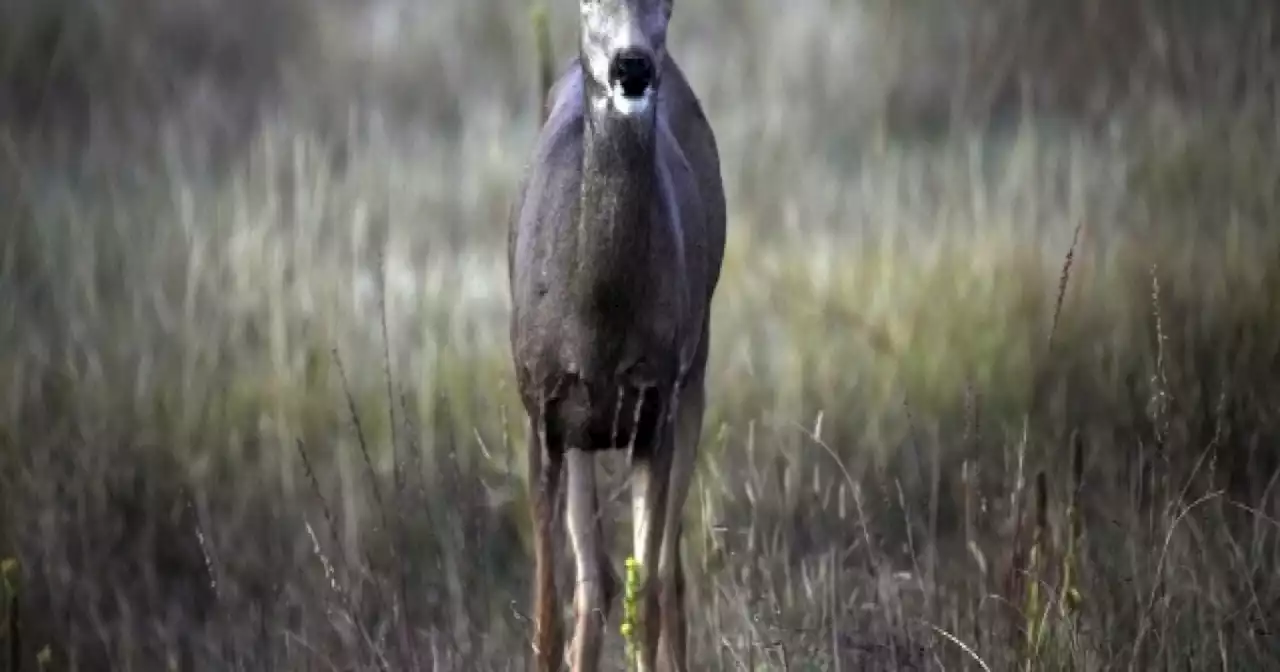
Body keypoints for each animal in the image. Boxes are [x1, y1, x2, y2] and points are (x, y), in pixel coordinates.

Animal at [506, 0, 727, 665]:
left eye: (668, 4)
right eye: (584, 3)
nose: (633, 65)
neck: (598, 322)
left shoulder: (655, 407)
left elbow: (647, 600)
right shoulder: (542, 410)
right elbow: (548, 620)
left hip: (694, 372)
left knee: (666, 581)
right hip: (583, 432)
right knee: (594, 585)